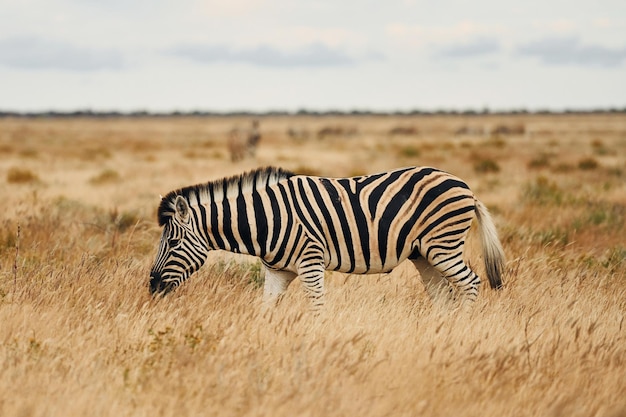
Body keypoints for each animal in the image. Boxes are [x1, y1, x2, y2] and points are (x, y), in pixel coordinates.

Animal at [149, 167, 504, 308]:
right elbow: (264, 309)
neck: (265, 220)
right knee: (444, 296)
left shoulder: (310, 262)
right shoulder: (277, 271)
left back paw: (462, 328)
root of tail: (465, 186)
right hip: (424, 255)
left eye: (174, 243)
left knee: (471, 282)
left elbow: (317, 307)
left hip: (442, 247)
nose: (151, 287)